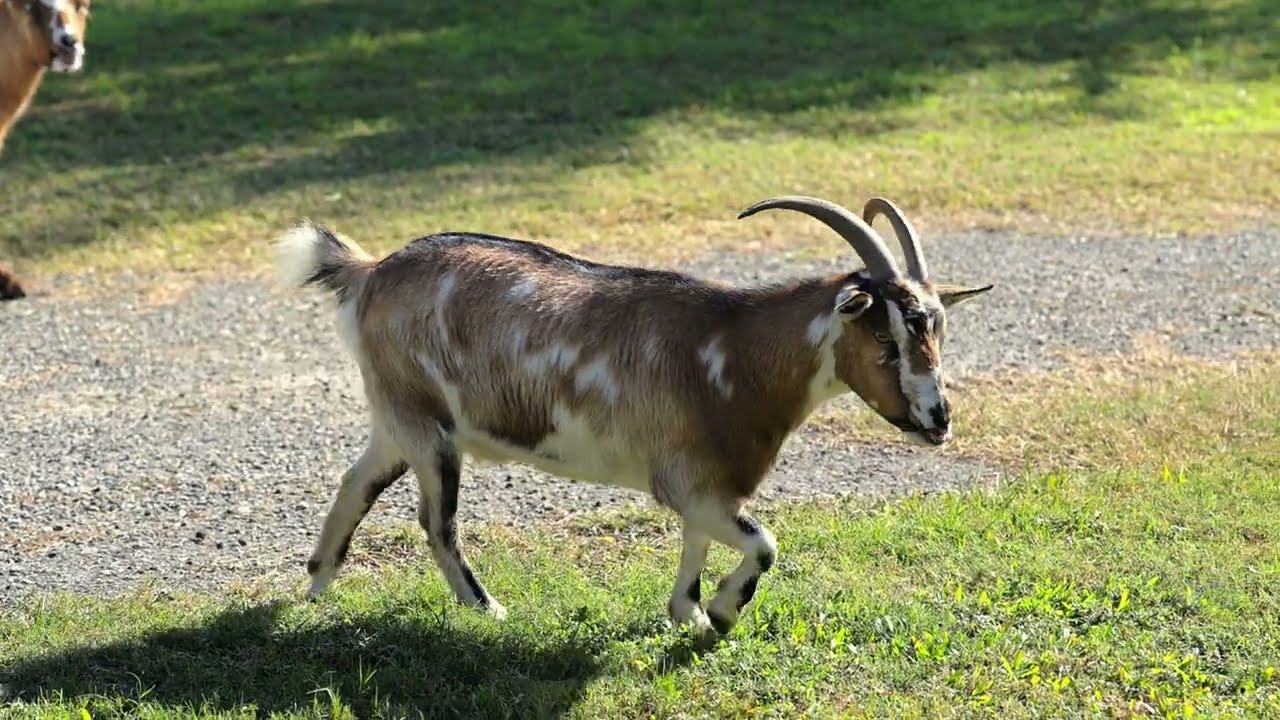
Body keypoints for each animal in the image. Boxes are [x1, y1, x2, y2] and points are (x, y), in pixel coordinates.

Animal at [275, 195, 992, 635]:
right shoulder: (684, 482)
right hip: (428, 429)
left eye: (938, 329)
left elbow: (701, 546)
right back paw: (487, 610)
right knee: (435, 521)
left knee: (356, 483)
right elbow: (764, 544)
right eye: (886, 338)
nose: (939, 419)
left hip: (398, 422)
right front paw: (724, 611)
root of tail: (369, 273)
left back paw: (313, 593)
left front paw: (691, 614)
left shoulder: (709, 485)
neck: (734, 349)